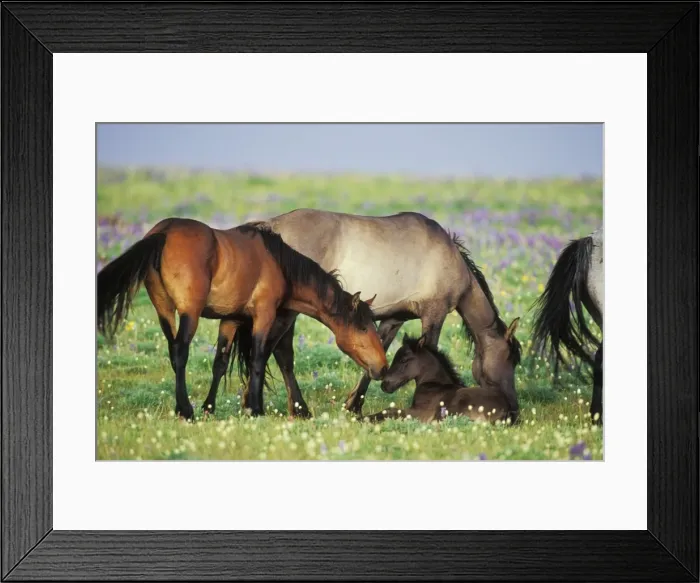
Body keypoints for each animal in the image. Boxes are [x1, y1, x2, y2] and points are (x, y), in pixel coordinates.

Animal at [96, 218, 387, 420]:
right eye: (363, 328)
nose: (382, 368)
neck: (279, 264)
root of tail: (164, 232)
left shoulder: (231, 320)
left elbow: (220, 363)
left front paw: (210, 408)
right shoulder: (264, 315)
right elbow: (259, 358)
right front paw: (254, 409)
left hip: (164, 311)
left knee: (173, 352)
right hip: (189, 313)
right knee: (180, 352)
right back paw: (185, 410)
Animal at [364, 331, 519, 425]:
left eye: (403, 360)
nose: (384, 385)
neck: (433, 384)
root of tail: (507, 412)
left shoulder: (420, 412)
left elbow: (391, 410)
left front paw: (363, 418)